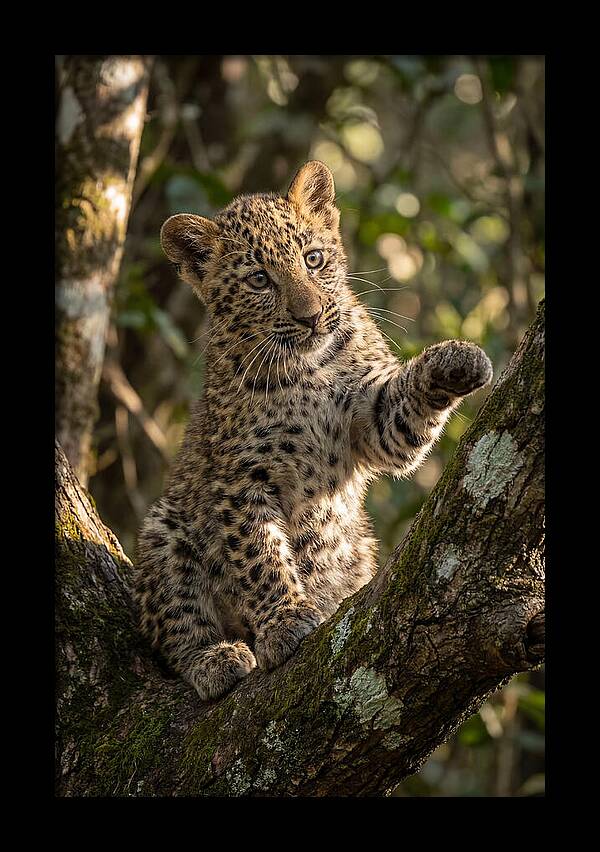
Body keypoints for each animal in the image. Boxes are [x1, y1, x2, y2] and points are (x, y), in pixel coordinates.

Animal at [133, 160, 493, 701]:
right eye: (260, 279)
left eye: (314, 258)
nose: (311, 316)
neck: (308, 370)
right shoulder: (241, 479)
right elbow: (259, 555)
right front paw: (284, 621)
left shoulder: (372, 422)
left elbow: (401, 413)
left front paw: (457, 359)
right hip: (165, 530)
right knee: (175, 628)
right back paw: (215, 659)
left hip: (358, 548)